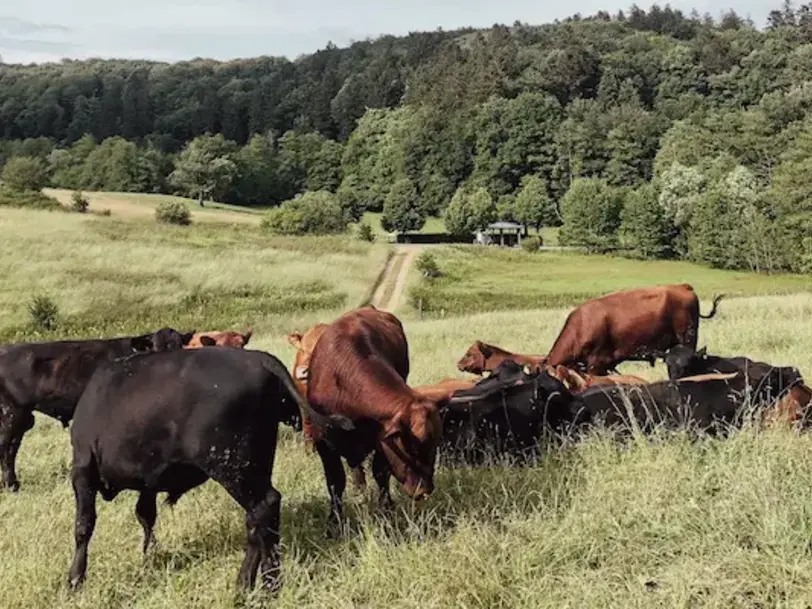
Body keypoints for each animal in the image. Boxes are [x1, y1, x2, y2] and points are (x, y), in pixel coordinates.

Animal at [0, 326, 195, 492]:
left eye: (180, 346)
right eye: (156, 347)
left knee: (12, 448)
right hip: (11, 413)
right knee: (5, 447)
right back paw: (10, 486)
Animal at [66, 346, 352, 592]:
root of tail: (259, 358)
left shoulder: (82, 469)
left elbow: (83, 525)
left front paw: (75, 579)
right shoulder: (147, 478)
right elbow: (145, 515)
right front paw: (151, 555)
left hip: (232, 467)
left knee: (264, 507)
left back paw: (267, 585)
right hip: (255, 464)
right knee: (257, 519)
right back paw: (248, 584)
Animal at [304, 304, 450, 532]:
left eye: (435, 445)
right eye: (410, 447)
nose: (423, 491)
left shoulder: (381, 438)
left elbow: (381, 473)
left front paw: (387, 510)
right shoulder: (323, 442)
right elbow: (335, 482)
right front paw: (334, 523)